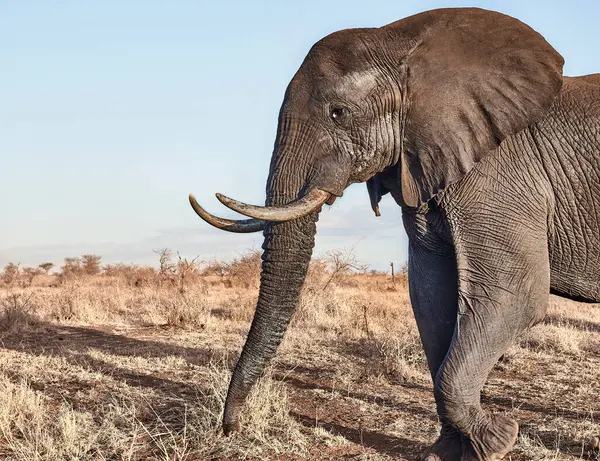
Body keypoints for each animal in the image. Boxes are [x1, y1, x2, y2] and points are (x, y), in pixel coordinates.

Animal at [189, 7, 600, 460]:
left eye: (338, 113)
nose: (231, 428)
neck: (403, 42)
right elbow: (431, 298)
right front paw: (446, 453)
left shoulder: (502, 174)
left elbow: (514, 296)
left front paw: (496, 441)